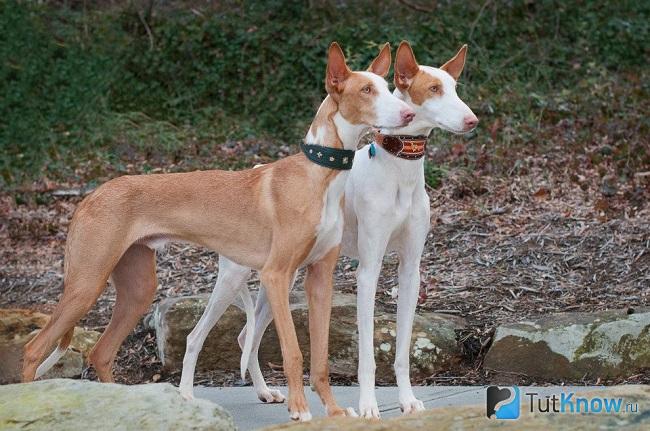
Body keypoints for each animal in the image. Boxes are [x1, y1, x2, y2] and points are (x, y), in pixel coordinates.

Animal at [24, 43, 416, 422]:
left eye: (387, 87)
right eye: (366, 90)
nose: (409, 115)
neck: (319, 174)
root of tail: (90, 196)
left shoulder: (320, 278)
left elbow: (319, 357)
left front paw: (333, 412)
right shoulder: (276, 275)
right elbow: (293, 352)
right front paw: (300, 409)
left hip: (138, 289)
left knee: (101, 352)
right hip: (87, 284)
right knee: (33, 350)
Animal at [177, 40, 476, 418]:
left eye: (455, 88)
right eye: (434, 89)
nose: (472, 120)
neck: (399, 171)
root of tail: (256, 171)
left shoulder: (411, 272)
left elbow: (403, 351)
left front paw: (407, 400)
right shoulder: (368, 270)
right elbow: (366, 355)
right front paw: (368, 406)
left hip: (281, 278)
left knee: (247, 335)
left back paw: (265, 391)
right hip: (236, 276)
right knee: (198, 336)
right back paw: (187, 396)